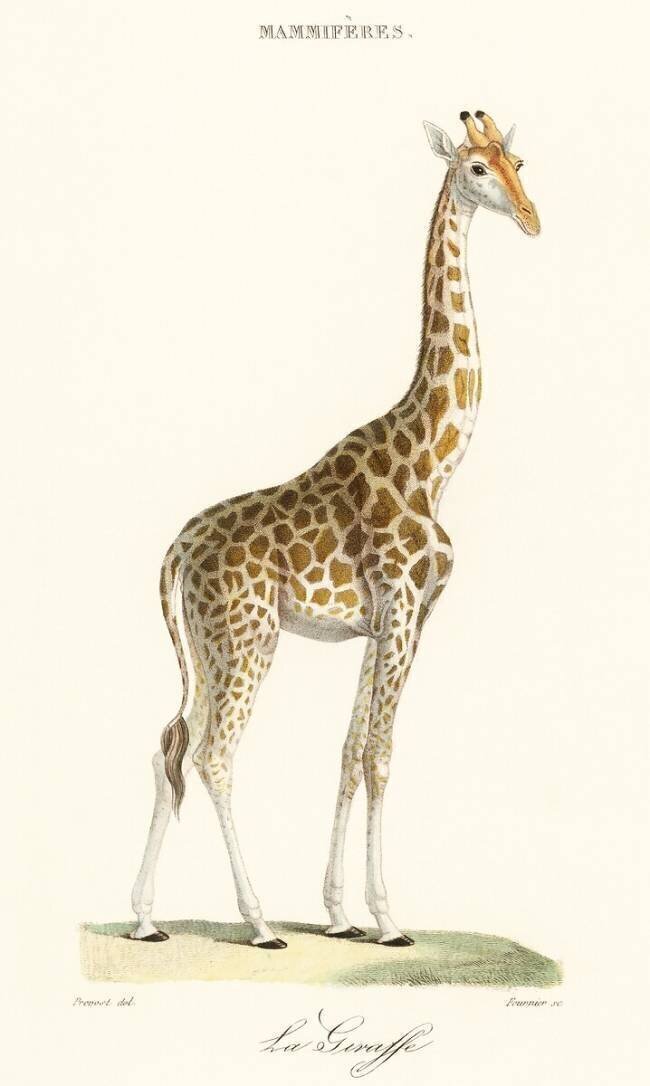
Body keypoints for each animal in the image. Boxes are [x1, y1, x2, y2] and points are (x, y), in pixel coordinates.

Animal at [130, 110, 540, 949]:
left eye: (519, 163)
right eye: (475, 170)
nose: (531, 217)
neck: (434, 461)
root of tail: (178, 547)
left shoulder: (386, 622)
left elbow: (350, 752)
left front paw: (342, 913)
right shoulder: (406, 610)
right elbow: (379, 754)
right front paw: (387, 919)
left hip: (209, 643)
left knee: (170, 748)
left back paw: (147, 918)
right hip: (250, 639)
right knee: (214, 756)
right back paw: (257, 922)